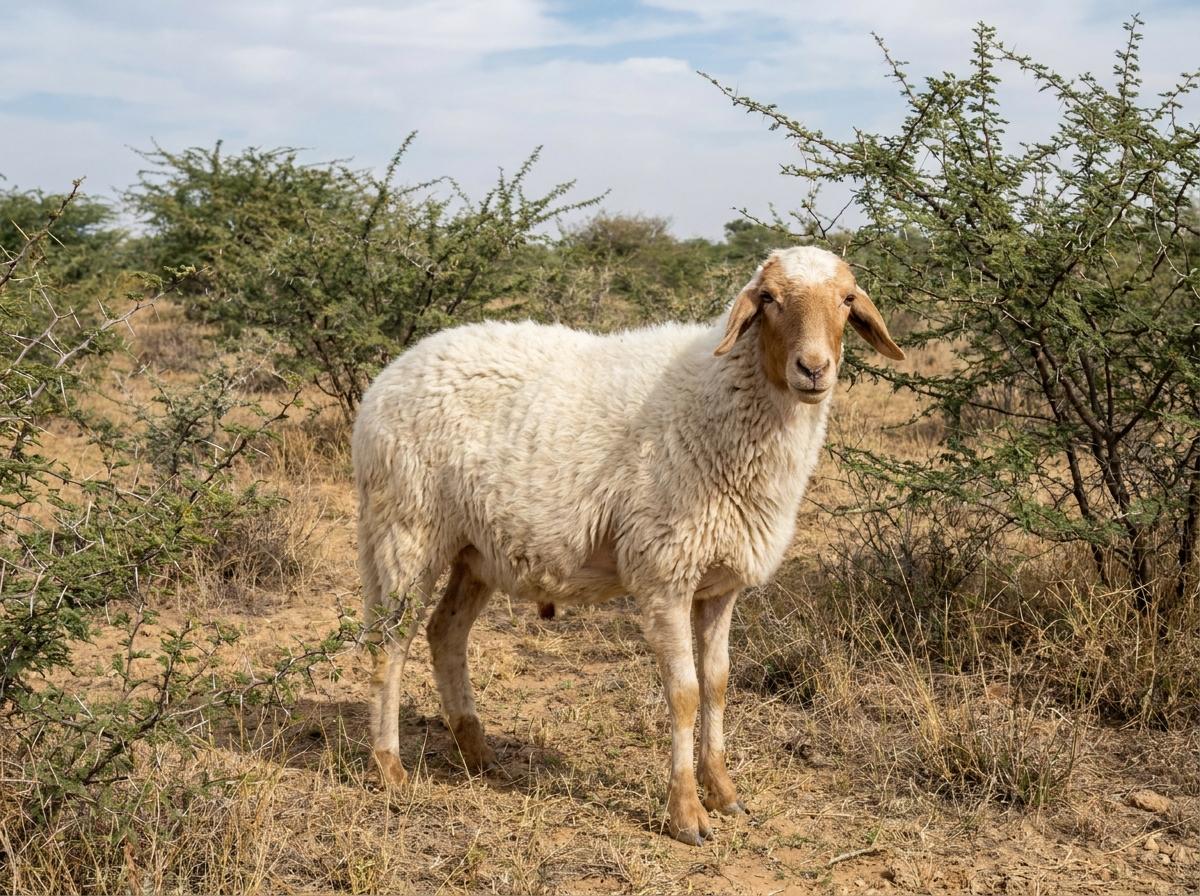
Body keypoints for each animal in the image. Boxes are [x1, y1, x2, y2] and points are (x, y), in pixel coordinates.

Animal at [352, 246, 904, 846]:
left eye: (847, 301)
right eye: (769, 299)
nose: (813, 369)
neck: (718, 393)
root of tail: (391, 374)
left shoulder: (720, 583)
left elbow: (718, 684)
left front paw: (723, 792)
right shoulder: (664, 572)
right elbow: (684, 692)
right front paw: (686, 813)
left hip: (476, 550)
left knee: (444, 632)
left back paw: (478, 751)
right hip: (406, 529)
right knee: (388, 644)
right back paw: (390, 768)